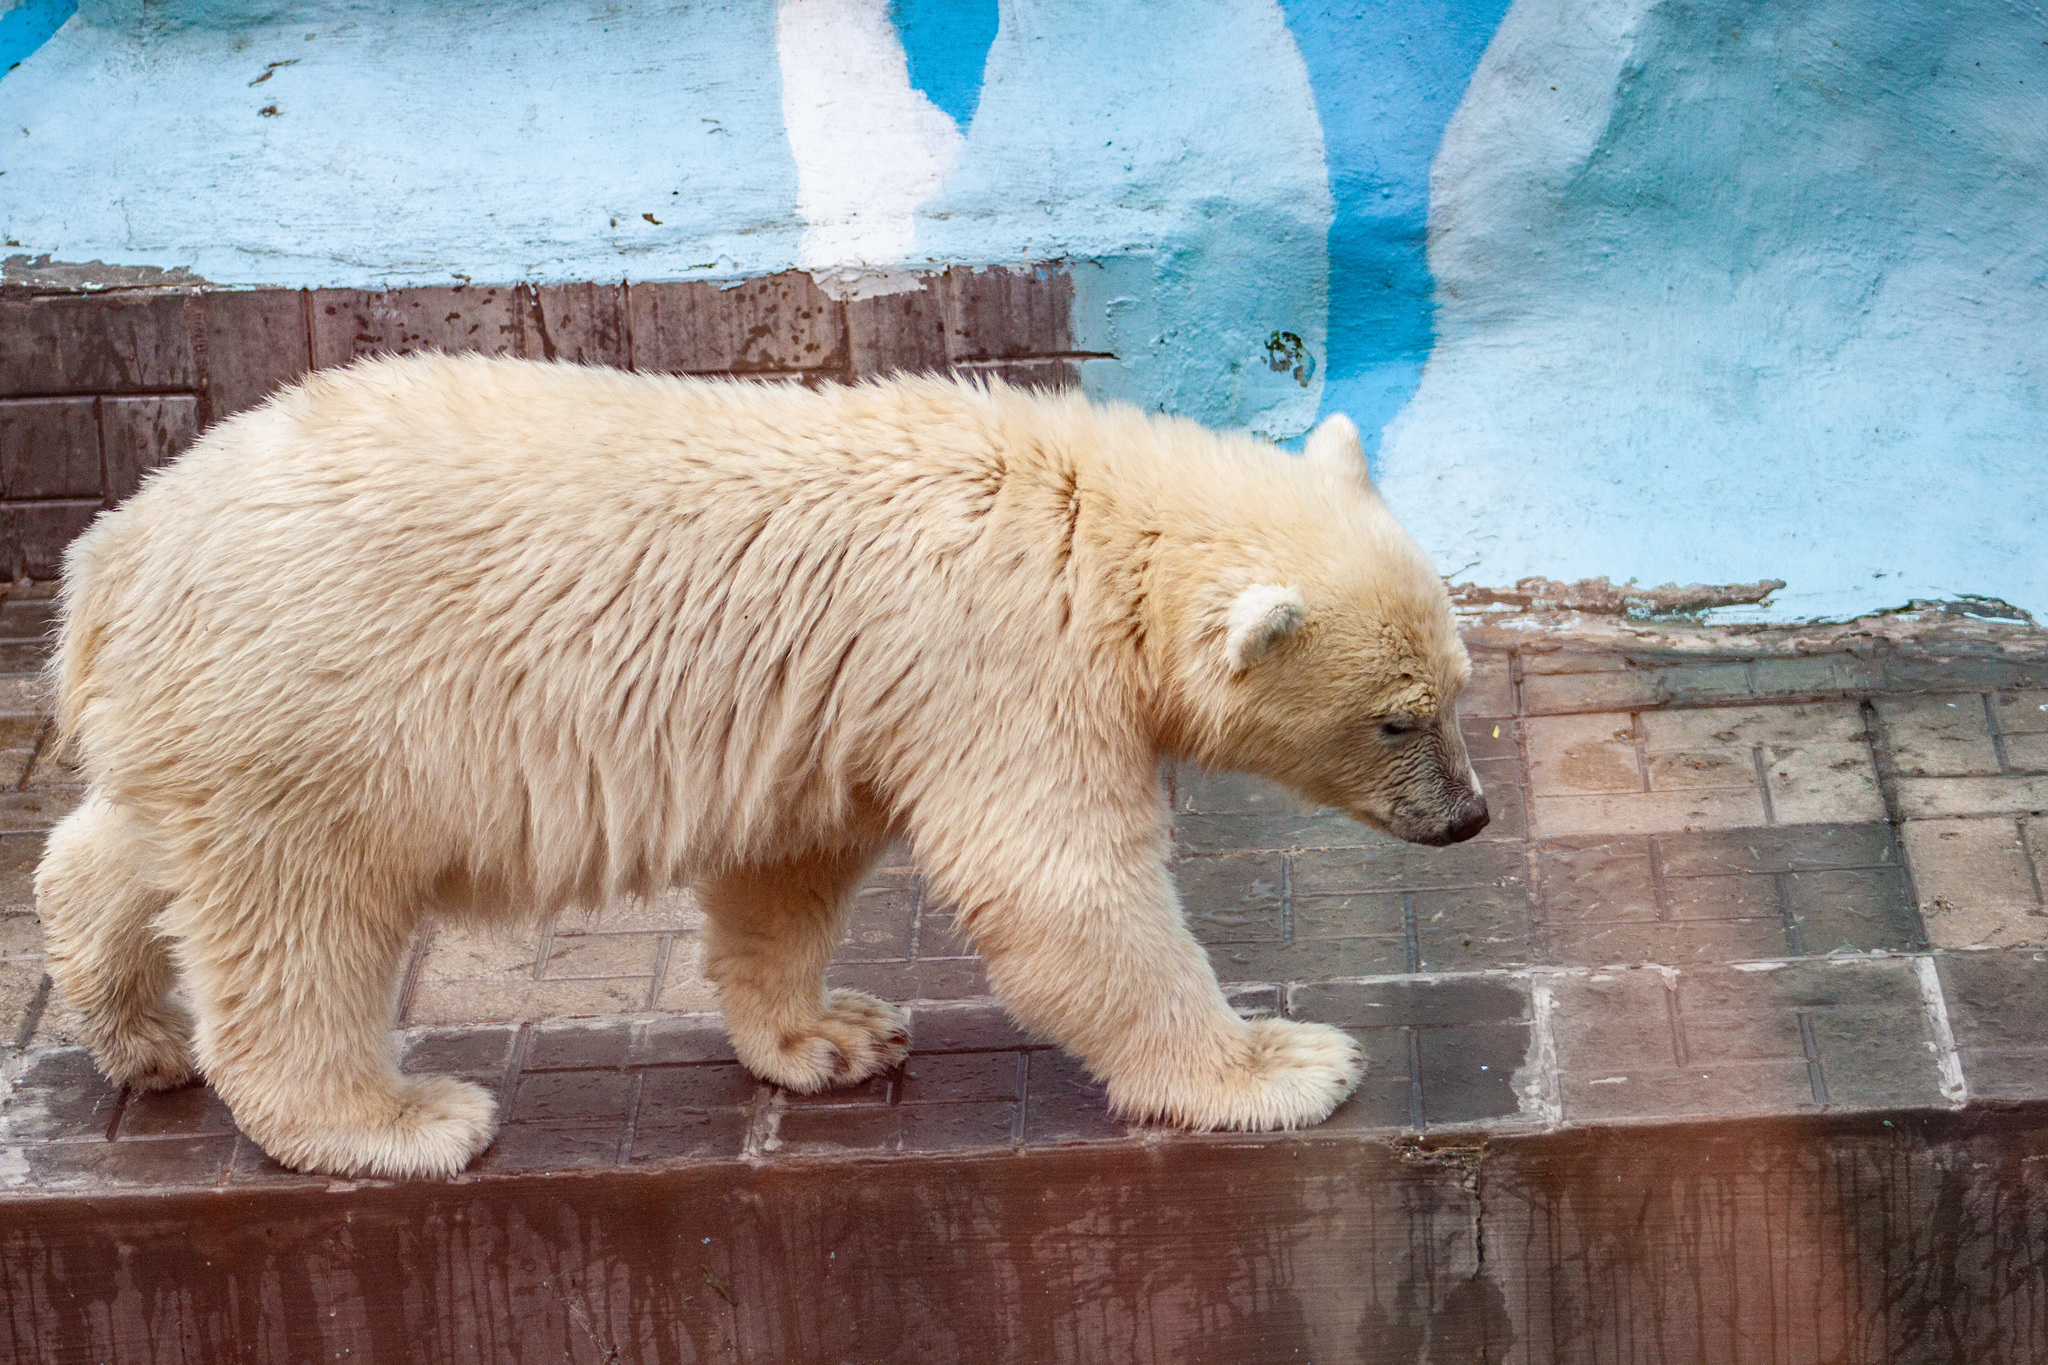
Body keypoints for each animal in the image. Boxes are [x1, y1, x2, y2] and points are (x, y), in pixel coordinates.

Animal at [32, 358, 1490, 1178]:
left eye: (1460, 687)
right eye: (1398, 718)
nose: (1471, 818)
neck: (1083, 515)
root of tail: (113, 556)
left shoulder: (837, 705)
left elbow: (789, 867)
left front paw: (831, 1034)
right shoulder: (999, 664)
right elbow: (1061, 885)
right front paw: (1280, 1064)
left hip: (206, 712)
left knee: (131, 844)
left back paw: (132, 1027)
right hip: (322, 704)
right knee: (301, 917)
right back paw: (392, 1119)